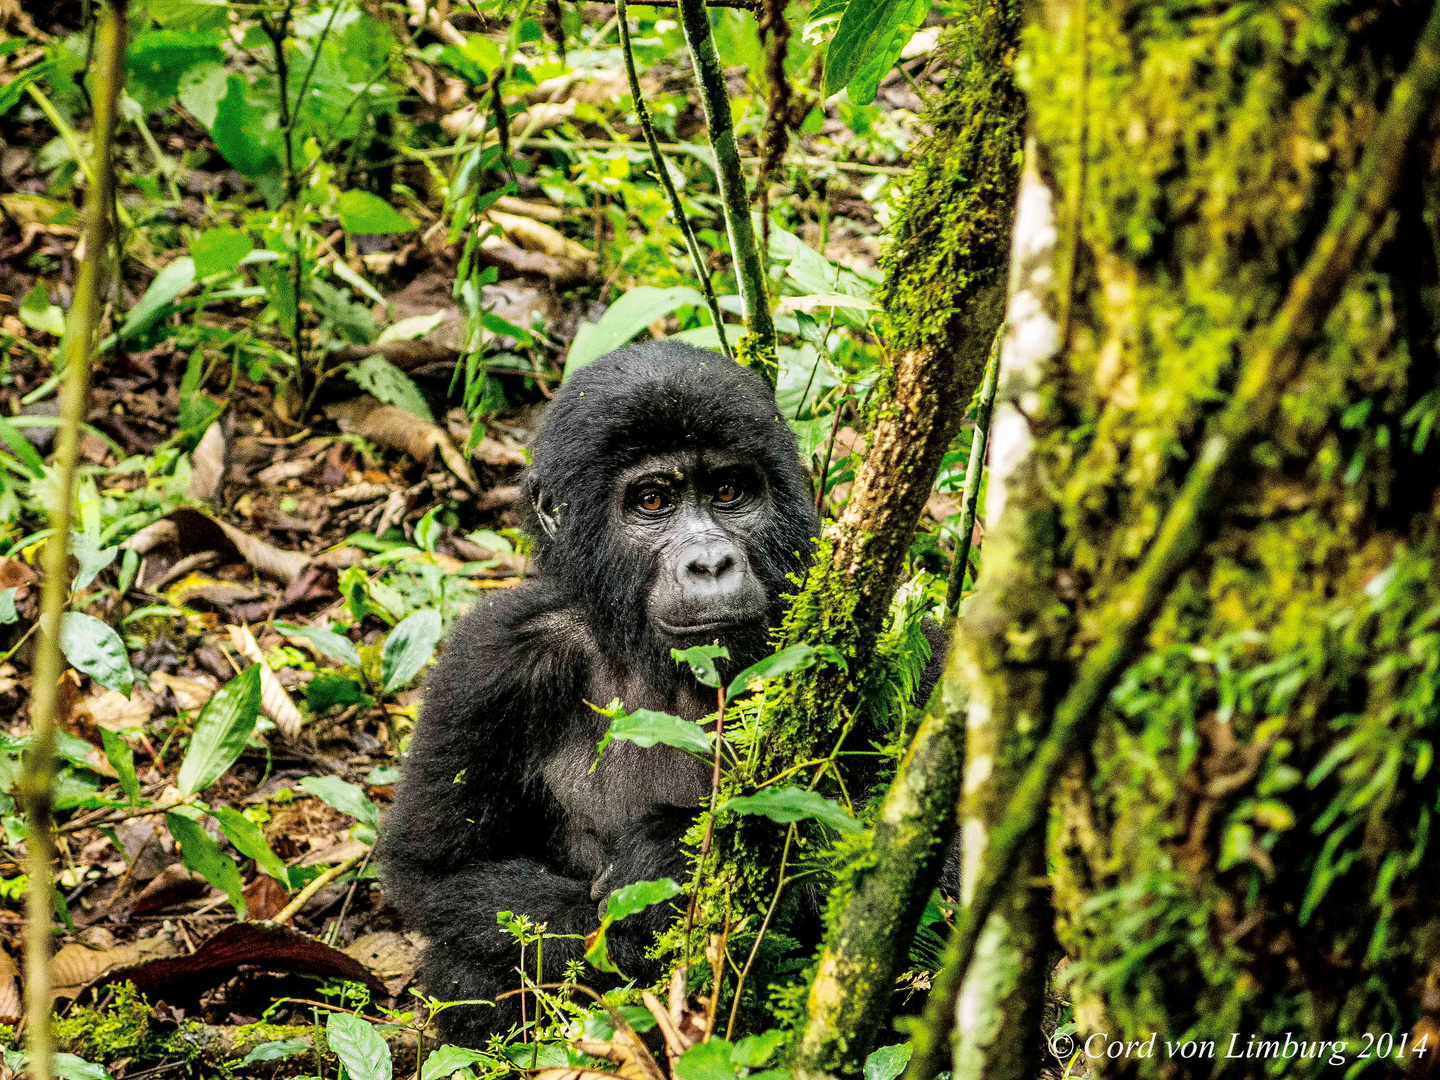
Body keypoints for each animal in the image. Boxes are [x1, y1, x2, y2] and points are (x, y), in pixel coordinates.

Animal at [377, 342, 817, 1042]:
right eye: (652, 500)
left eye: (729, 491)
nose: (711, 564)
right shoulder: (489, 662)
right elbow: (439, 870)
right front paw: (647, 903)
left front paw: (671, 854)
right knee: (464, 964)